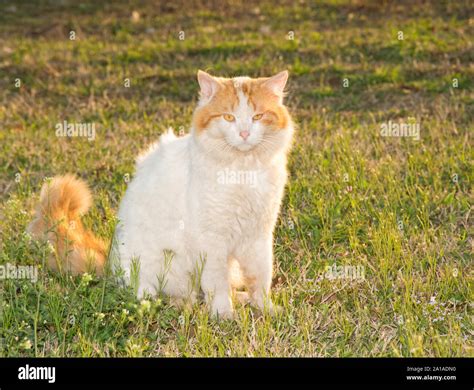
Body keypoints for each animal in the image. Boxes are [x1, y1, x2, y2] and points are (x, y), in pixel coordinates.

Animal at [28, 71, 292, 320]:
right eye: (229, 117)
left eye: (257, 117)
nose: (245, 133)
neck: (244, 172)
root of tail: (110, 266)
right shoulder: (212, 239)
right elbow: (217, 284)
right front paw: (223, 314)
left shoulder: (258, 235)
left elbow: (260, 278)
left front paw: (264, 308)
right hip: (153, 272)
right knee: (164, 296)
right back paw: (183, 305)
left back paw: (239, 298)